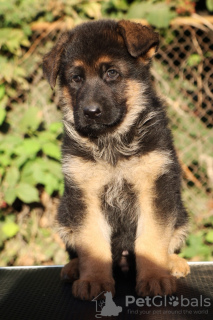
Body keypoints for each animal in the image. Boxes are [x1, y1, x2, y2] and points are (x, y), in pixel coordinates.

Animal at [43, 19, 190, 300]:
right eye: (76, 78)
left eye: (111, 73)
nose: (90, 112)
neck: (111, 141)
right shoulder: (85, 195)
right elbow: (91, 243)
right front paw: (94, 281)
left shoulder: (154, 189)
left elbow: (152, 239)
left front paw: (155, 277)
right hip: (65, 213)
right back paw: (74, 268)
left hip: (179, 213)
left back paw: (174, 263)